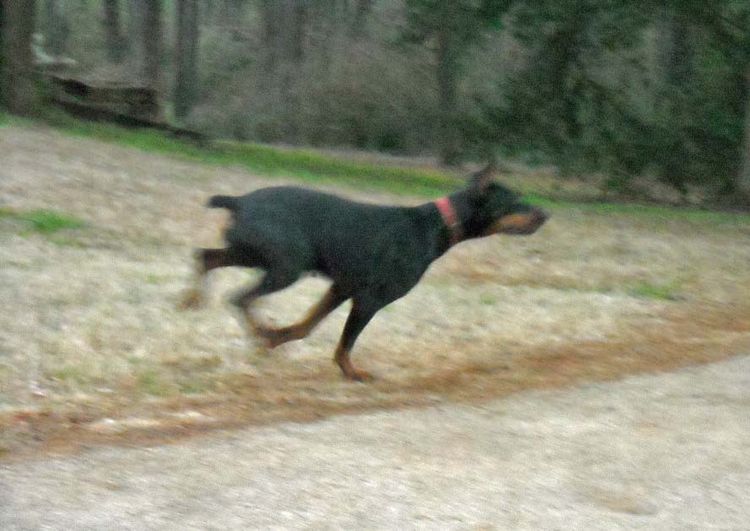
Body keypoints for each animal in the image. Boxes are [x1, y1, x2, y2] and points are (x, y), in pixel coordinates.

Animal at [180, 164, 548, 380]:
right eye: (514, 202)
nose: (545, 214)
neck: (437, 226)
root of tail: (240, 201)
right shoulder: (370, 299)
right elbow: (346, 343)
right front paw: (351, 371)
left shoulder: (341, 288)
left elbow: (307, 325)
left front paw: (280, 337)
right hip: (286, 267)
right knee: (239, 297)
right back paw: (256, 331)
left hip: (251, 253)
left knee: (206, 257)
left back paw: (193, 301)